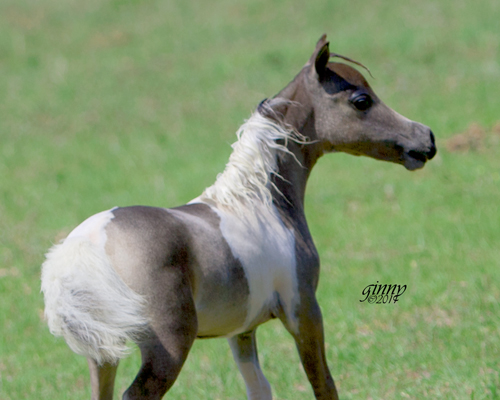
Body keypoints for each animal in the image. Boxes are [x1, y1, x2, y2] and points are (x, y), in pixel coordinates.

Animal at [41, 35, 436, 400]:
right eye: (361, 101)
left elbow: (259, 389)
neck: (260, 200)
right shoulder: (304, 311)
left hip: (102, 354)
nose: (427, 138)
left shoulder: (242, 331)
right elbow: (324, 384)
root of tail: (81, 249)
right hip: (167, 348)